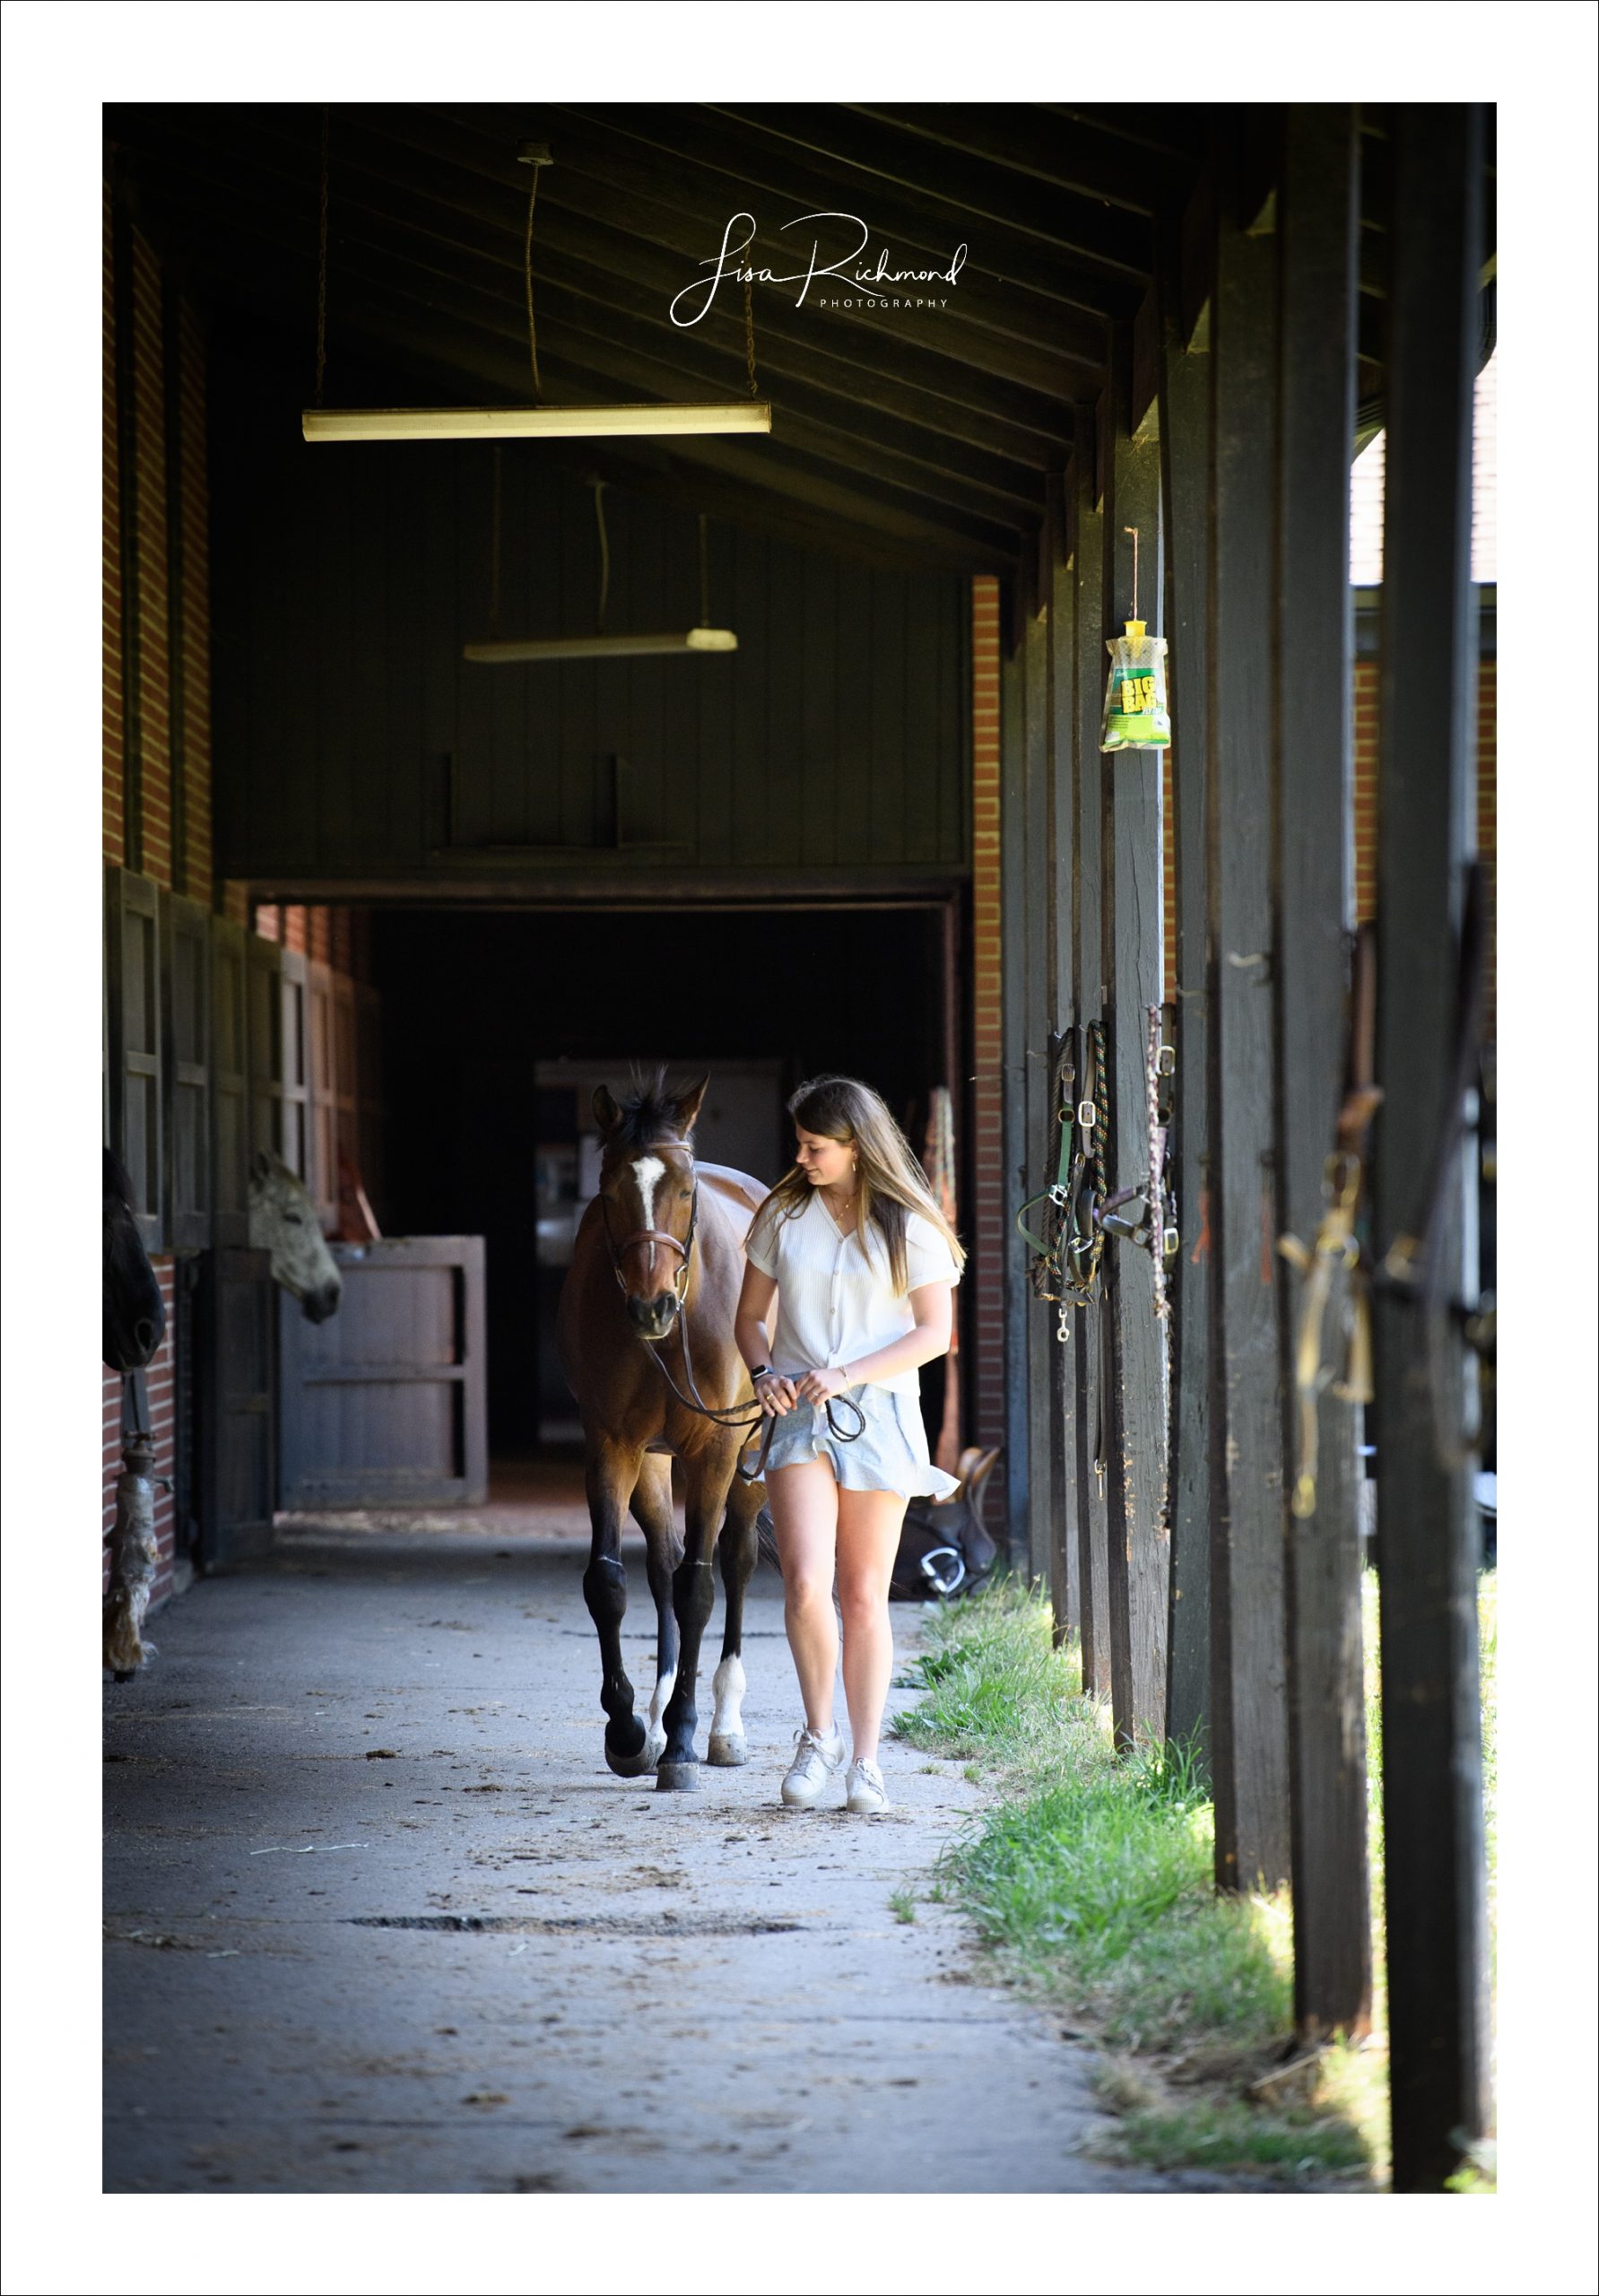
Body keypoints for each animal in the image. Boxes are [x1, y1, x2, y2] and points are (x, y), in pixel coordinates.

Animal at [555, 1074, 767, 1790]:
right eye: (610, 1185)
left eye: (683, 1188)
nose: (652, 1307)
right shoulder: (612, 1445)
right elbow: (609, 1583)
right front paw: (627, 1730)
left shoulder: (717, 1449)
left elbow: (700, 1587)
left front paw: (681, 1738)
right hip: (652, 1461)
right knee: (665, 1560)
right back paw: (658, 1709)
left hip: (751, 1456)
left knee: (734, 1561)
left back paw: (722, 1726)